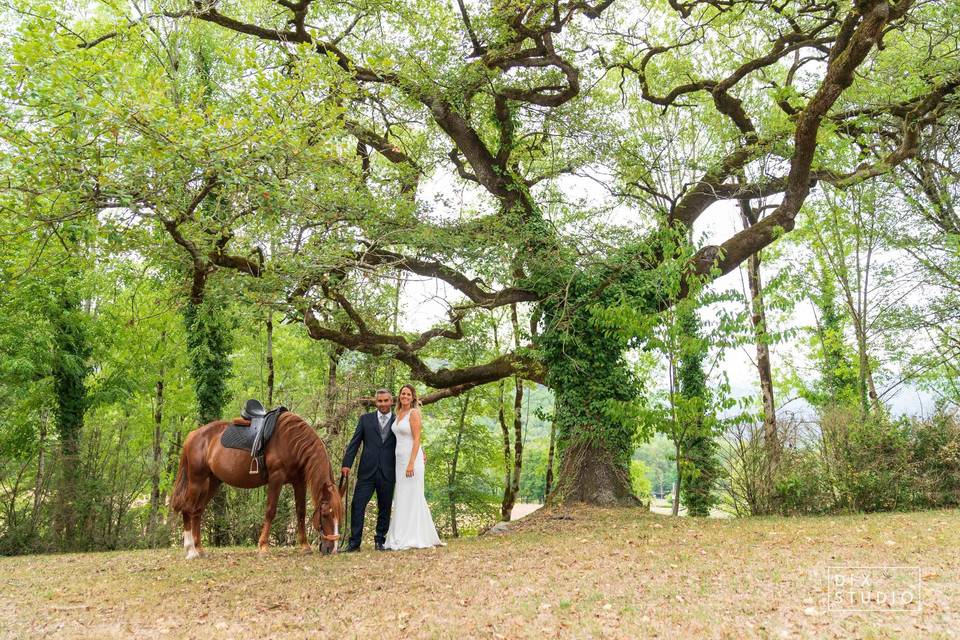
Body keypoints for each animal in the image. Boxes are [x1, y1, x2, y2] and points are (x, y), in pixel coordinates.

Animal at [171, 412, 344, 556]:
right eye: (326, 514)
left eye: (340, 515)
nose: (332, 549)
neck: (292, 441)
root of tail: (193, 435)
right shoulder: (276, 478)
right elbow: (270, 511)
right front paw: (263, 546)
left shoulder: (299, 482)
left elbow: (301, 512)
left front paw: (305, 546)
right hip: (196, 481)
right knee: (187, 509)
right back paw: (191, 550)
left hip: (213, 482)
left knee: (197, 511)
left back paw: (199, 548)